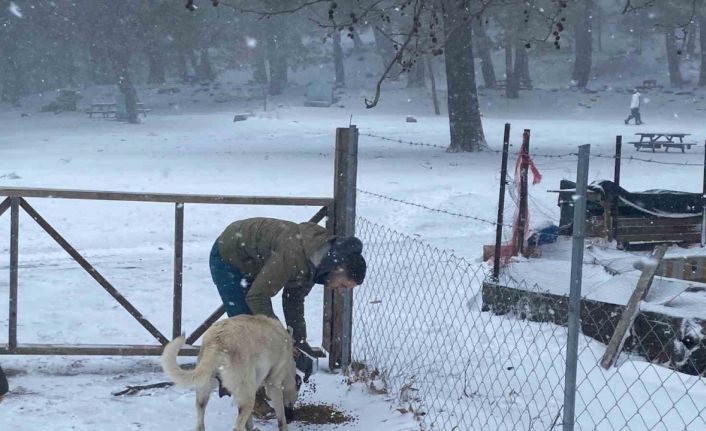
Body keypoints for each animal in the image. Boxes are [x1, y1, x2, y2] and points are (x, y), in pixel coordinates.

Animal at [161, 314, 298, 431]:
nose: (292, 412)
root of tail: (217, 343)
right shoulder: (273, 385)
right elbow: (281, 419)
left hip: (204, 390)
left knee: (200, 421)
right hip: (247, 397)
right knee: (237, 427)